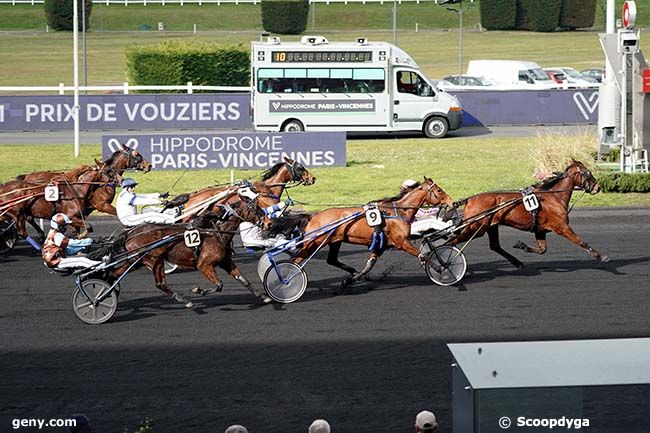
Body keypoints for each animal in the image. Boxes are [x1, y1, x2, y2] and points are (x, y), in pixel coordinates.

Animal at [110, 194, 264, 306]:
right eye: (256, 208)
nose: (267, 222)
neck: (216, 231)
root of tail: (130, 233)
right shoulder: (204, 264)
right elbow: (219, 285)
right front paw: (199, 290)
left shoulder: (225, 261)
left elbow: (243, 279)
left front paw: (263, 296)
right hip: (153, 259)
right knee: (160, 284)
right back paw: (185, 301)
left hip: (136, 261)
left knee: (114, 274)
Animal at [268, 176, 450, 284]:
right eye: (439, 190)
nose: (451, 202)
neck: (398, 212)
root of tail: (313, 216)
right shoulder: (401, 242)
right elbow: (423, 255)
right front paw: (440, 267)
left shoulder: (382, 245)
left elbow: (369, 264)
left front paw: (352, 279)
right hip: (313, 242)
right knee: (295, 261)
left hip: (334, 241)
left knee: (331, 260)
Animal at [448, 159, 604, 266]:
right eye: (588, 172)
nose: (598, 187)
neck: (554, 196)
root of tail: (470, 200)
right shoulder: (562, 227)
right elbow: (581, 242)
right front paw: (601, 256)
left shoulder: (540, 229)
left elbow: (542, 250)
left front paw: (521, 245)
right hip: (476, 228)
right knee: (452, 240)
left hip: (490, 226)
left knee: (495, 246)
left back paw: (517, 262)